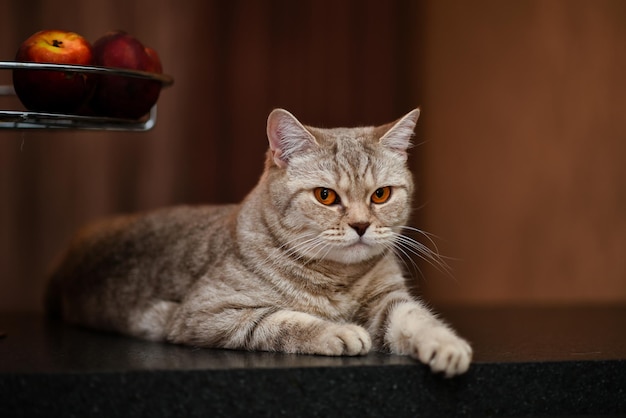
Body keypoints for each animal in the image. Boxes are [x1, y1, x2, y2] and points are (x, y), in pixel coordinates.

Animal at [45, 108, 472, 376]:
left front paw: (446, 345)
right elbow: (280, 320)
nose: (361, 225)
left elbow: (416, 318)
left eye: (381, 195)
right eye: (326, 196)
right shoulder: (206, 314)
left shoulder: (388, 301)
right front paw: (336, 330)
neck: (338, 279)